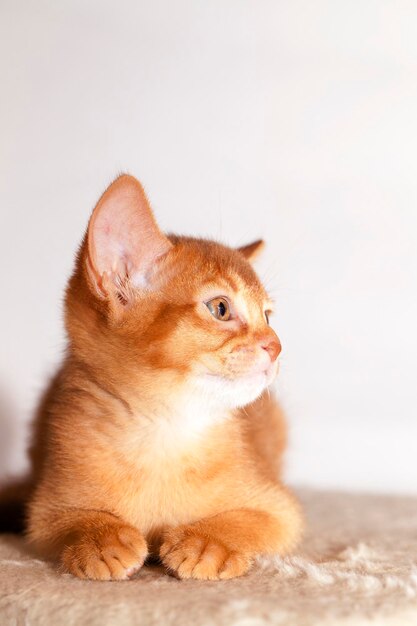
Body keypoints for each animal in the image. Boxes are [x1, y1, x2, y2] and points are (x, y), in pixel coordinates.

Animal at [5, 173, 302, 576]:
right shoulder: (47, 510)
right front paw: (101, 538)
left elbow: (249, 521)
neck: (163, 430)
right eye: (220, 308)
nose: (276, 345)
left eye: (268, 316)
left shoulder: (279, 508)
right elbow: (69, 520)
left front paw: (207, 543)